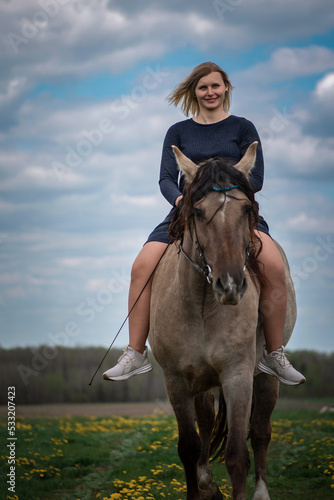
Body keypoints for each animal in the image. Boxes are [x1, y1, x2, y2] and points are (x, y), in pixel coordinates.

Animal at [149, 142, 298, 500]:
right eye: (198, 212)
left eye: (246, 210)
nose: (230, 285)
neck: (202, 306)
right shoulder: (176, 380)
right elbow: (189, 448)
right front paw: (203, 487)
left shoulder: (237, 376)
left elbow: (237, 456)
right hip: (200, 382)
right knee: (205, 425)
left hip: (265, 375)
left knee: (260, 432)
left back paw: (261, 492)